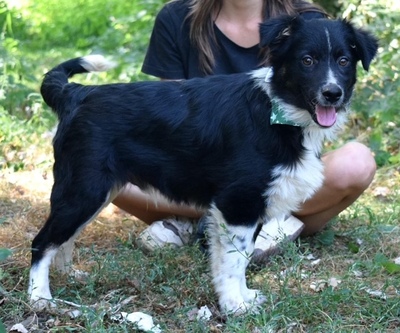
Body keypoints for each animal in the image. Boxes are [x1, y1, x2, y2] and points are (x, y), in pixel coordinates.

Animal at [29, 16, 376, 314]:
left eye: (344, 61)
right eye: (307, 60)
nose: (332, 93)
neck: (278, 110)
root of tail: (76, 93)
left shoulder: (248, 207)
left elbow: (238, 258)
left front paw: (242, 297)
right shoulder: (239, 203)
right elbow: (234, 262)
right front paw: (235, 306)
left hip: (97, 192)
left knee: (65, 239)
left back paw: (69, 275)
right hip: (84, 189)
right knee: (42, 242)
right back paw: (40, 298)